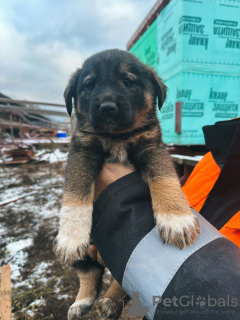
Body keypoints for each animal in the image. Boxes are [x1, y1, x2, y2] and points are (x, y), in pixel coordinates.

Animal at [54, 48, 201, 318]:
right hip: (89, 253)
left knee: (122, 278)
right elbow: (76, 193)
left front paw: (175, 219)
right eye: (89, 85)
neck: (117, 137)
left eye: (128, 81)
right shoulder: (82, 152)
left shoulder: (152, 148)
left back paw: (110, 302)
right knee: (90, 272)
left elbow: (164, 179)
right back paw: (83, 301)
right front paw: (71, 237)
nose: (106, 107)